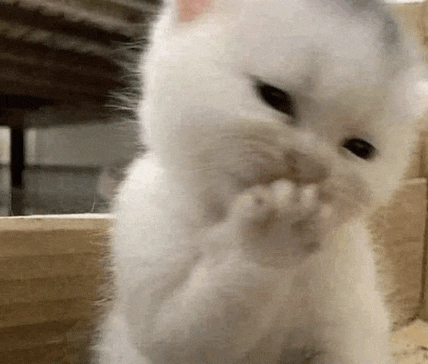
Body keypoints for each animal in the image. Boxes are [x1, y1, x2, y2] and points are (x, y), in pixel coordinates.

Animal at [94, 0, 428, 364]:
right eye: (274, 97)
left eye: (360, 148)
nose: (309, 165)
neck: (222, 215)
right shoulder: (145, 219)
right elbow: (182, 333)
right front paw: (273, 233)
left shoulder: (354, 315)